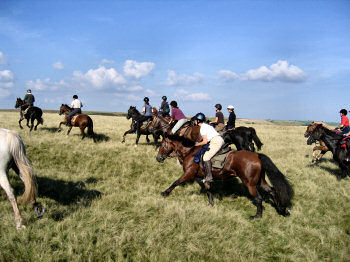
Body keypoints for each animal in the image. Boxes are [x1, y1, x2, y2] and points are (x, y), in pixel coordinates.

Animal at [156, 134, 292, 218]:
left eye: (162, 145)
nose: (158, 159)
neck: (189, 152)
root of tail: (257, 156)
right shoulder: (205, 177)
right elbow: (208, 189)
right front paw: (211, 204)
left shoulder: (189, 174)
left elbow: (176, 182)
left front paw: (164, 193)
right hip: (260, 181)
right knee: (272, 191)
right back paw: (281, 209)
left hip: (250, 183)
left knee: (258, 198)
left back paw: (257, 216)